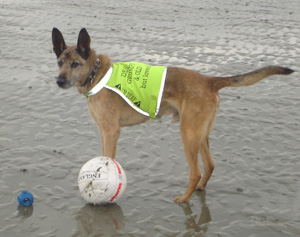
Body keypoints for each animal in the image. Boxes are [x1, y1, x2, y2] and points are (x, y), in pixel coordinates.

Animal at [51, 27, 292, 202]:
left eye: (75, 64)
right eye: (60, 63)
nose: (59, 81)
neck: (96, 74)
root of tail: (209, 80)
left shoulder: (111, 132)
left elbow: (109, 160)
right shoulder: (103, 131)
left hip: (188, 134)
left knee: (196, 171)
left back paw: (184, 199)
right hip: (200, 134)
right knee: (210, 165)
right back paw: (199, 189)